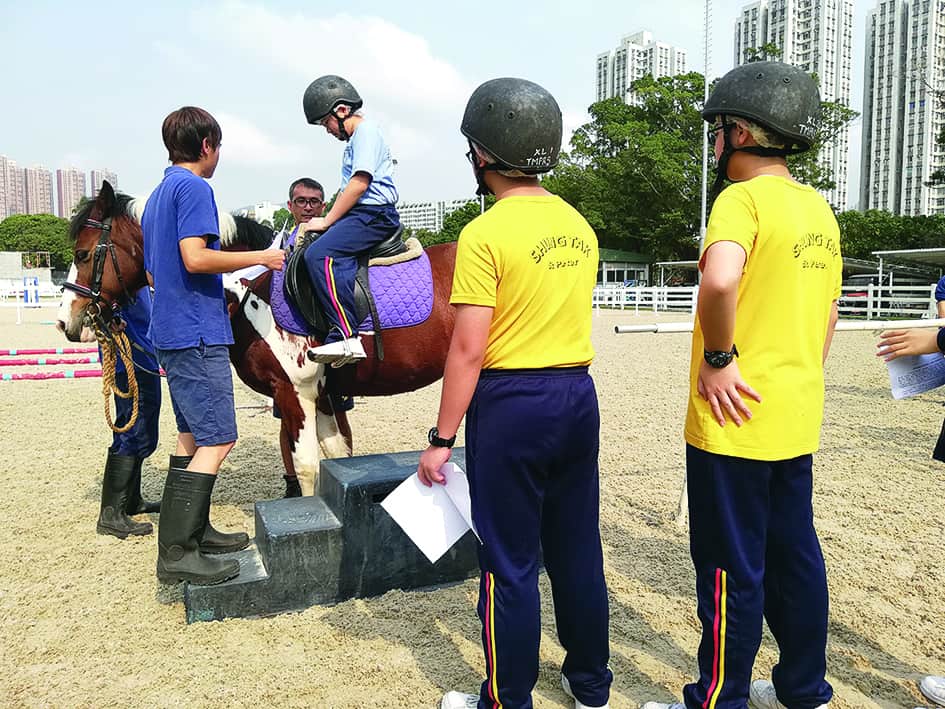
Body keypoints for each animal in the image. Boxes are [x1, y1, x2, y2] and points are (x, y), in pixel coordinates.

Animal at [59, 180, 458, 496]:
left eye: (82, 253)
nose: (66, 320)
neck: (250, 286)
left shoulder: (295, 393)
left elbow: (307, 466)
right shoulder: (322, 394)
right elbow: (335, 456)